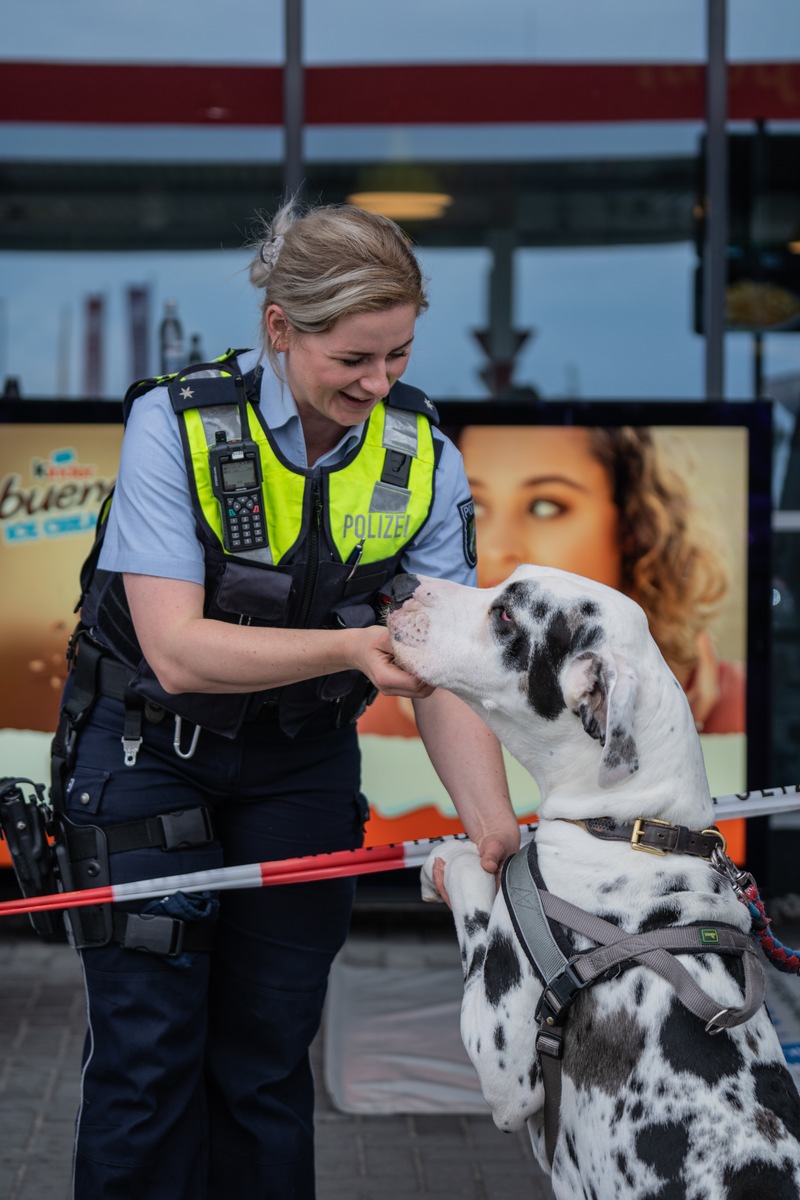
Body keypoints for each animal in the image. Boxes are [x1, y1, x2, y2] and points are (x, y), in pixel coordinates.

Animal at [388, 564, 800, 1200]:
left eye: (506, 615)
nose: (405, 583)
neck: (627, 828)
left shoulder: (502, 1063)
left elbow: (480, 882)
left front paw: (450, 862)